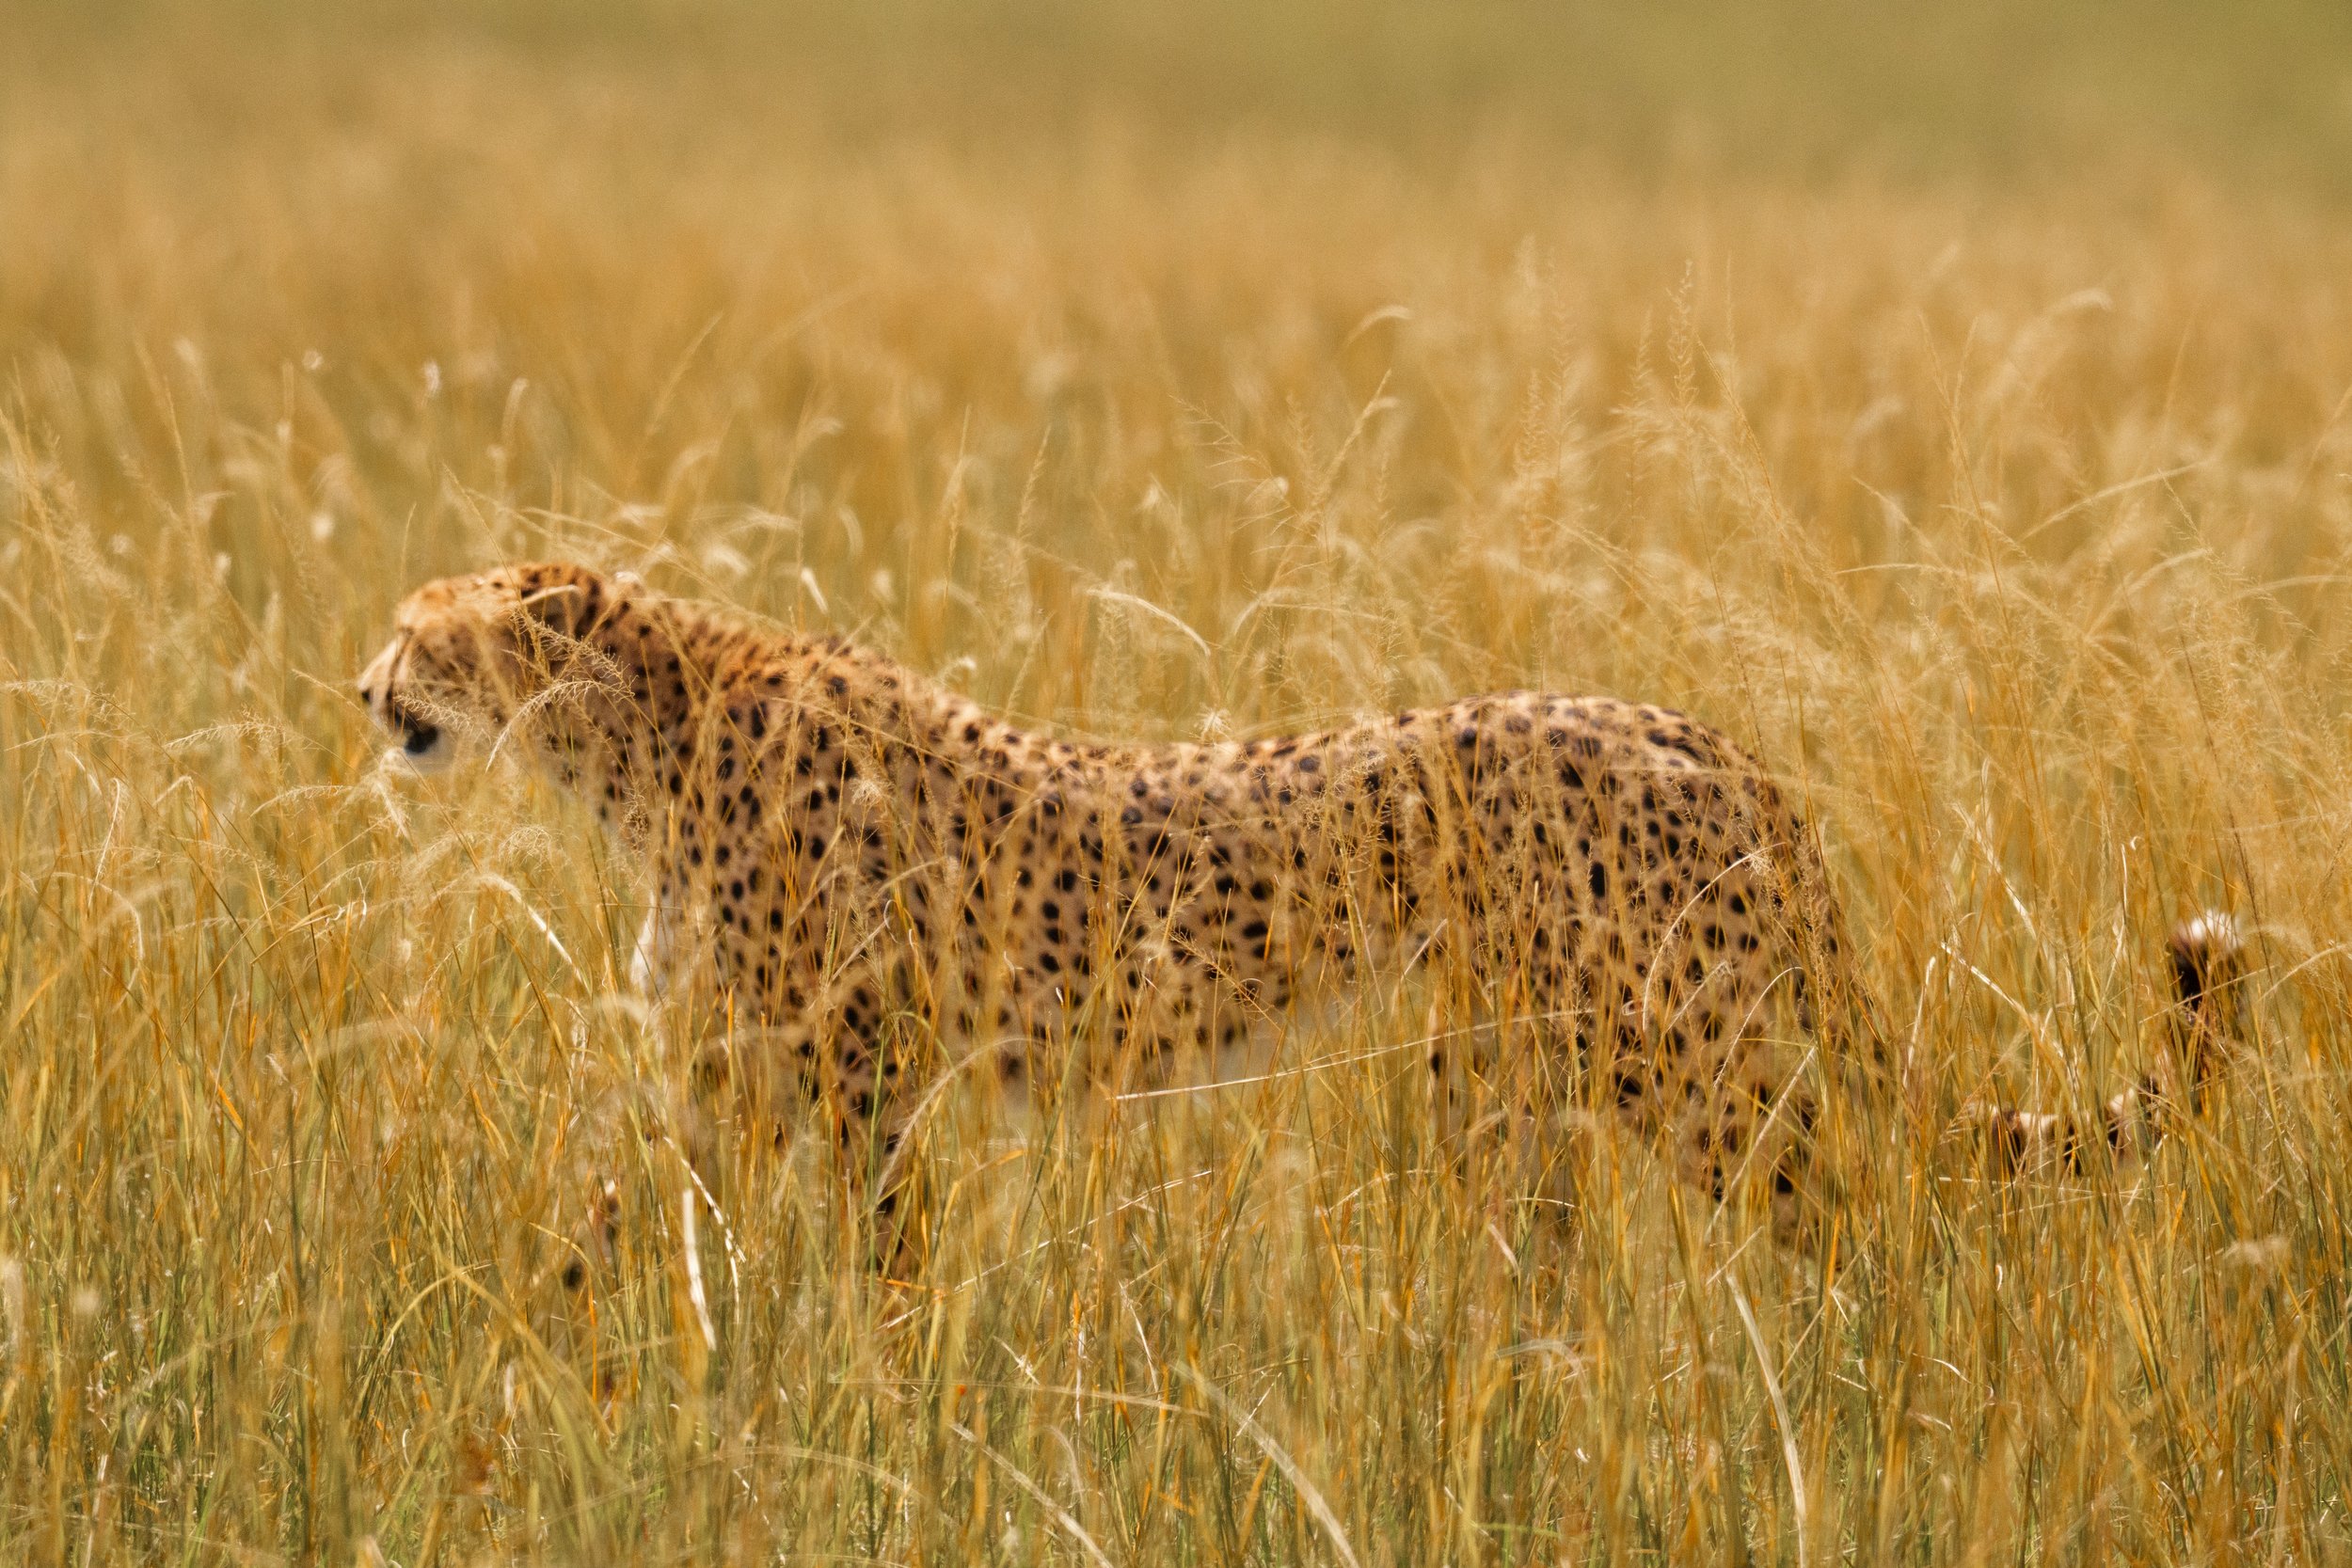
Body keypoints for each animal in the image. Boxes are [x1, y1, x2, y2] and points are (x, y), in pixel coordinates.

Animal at [358, 560, 2246, 1262]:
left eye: (419, 628)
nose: (363, 685)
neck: (634, 733)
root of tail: (1694, 729)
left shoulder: (845, 1066)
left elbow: (853, 1244)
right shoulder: (738, 1069)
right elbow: (630, 1210)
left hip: (1672, 1054)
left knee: (1838, 1194)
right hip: (1524, 1069)